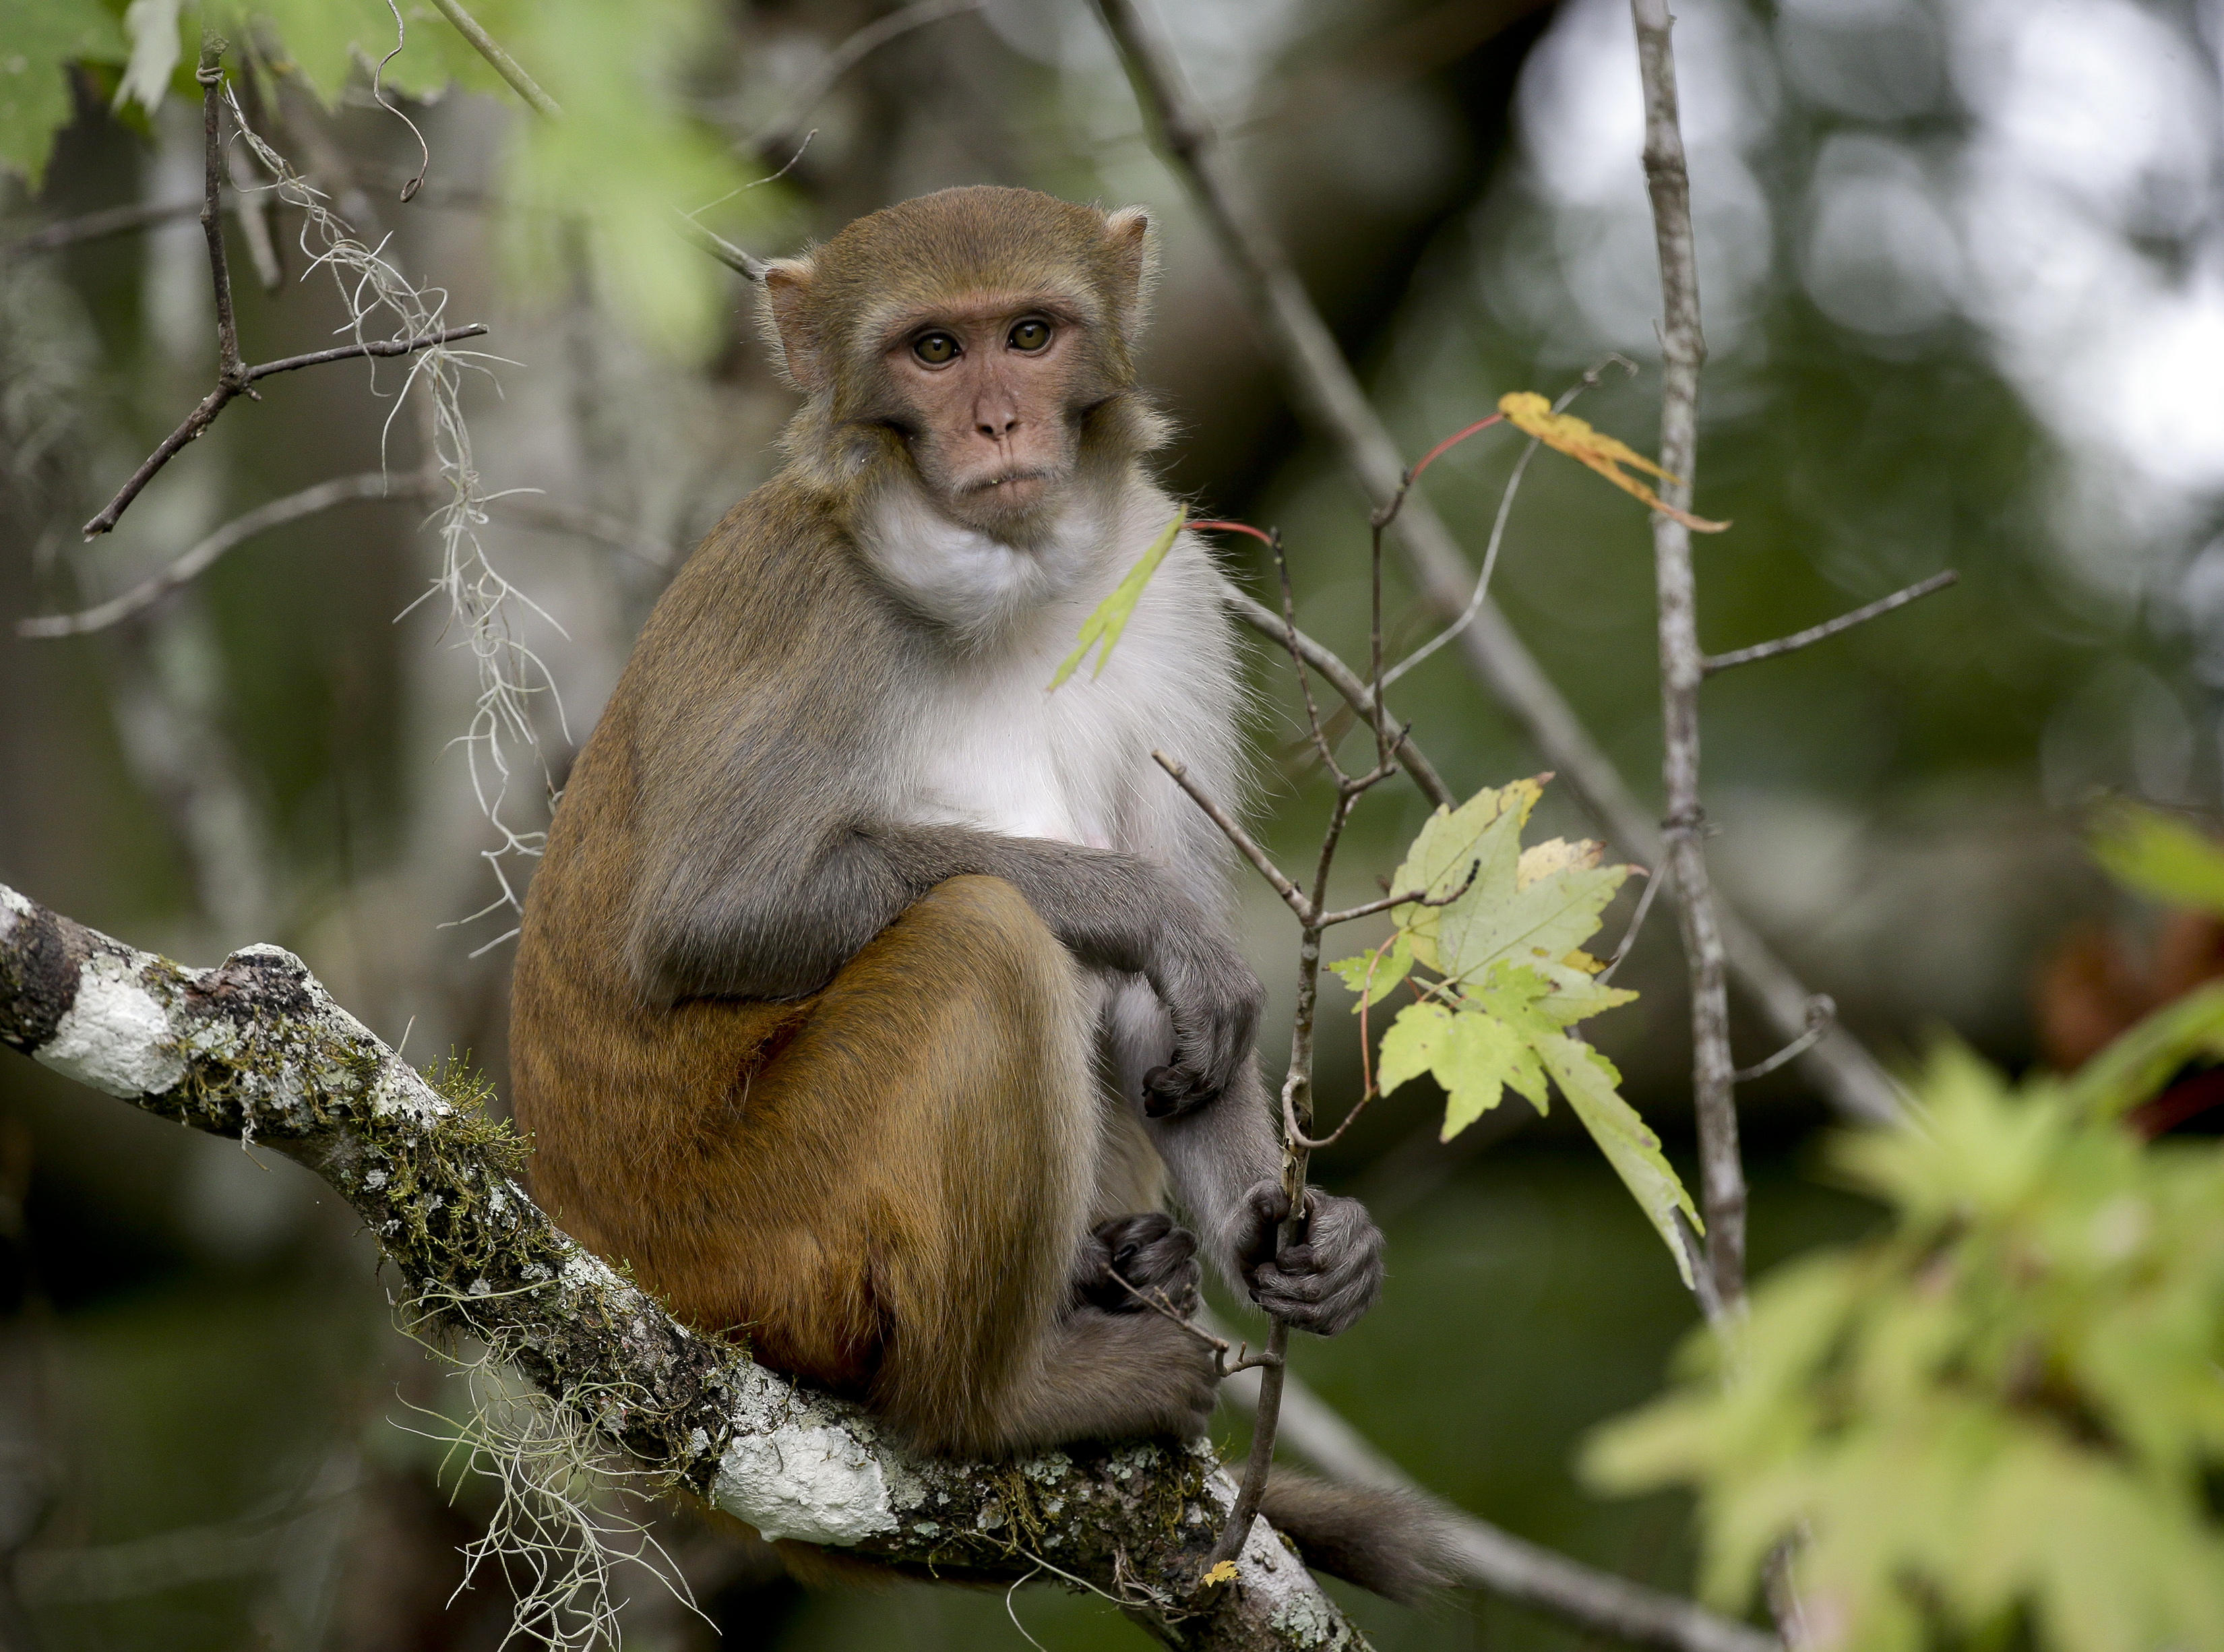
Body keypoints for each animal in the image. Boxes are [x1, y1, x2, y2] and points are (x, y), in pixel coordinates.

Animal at [509, 187, 1441, 1591]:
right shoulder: (803, 600)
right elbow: (712, 917)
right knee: (986, 940)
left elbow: (1174, 1032)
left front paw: (1299, 1239)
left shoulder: (1169, 592)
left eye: (1031, 334)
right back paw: (1006, 1402)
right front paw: (1150, 912)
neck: (1010, 584)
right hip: (754, 1236)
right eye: (934, 352)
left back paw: (1131, 1266)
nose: (998, 423)